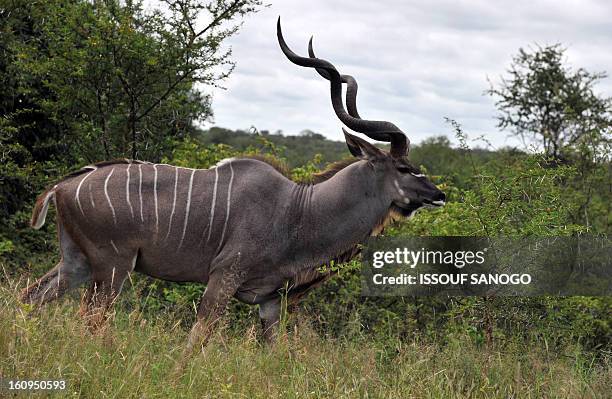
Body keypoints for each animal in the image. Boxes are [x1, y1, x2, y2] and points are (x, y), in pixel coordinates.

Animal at [21, 19, 448, 346]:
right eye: (404, 168)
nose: (439, 195)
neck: (299, 211)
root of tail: (61, 188)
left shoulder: (272, 301)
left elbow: (273, 351)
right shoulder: (224, 277)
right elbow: (197, 339)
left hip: (76, 262)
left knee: (31, 297)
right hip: (113, 268)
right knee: (90, 320)